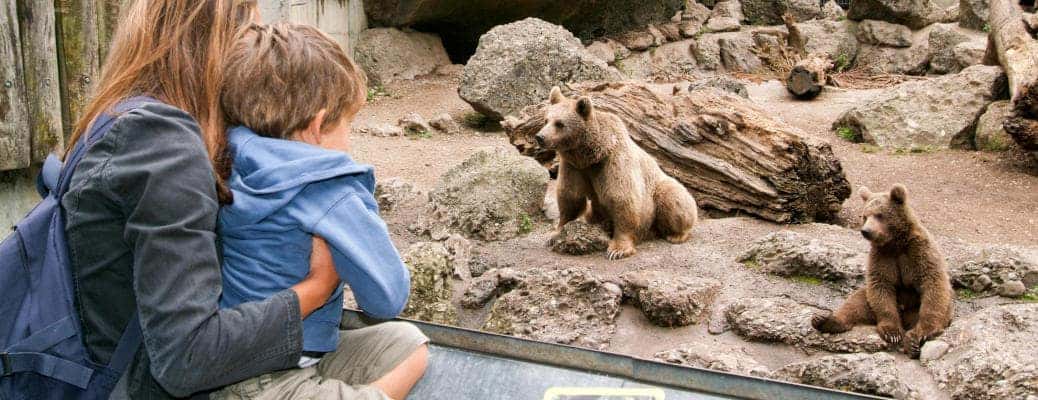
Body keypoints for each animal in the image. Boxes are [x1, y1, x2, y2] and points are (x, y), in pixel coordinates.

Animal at [536, 86, 698, 260]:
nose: (540, 137)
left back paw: (677, 235)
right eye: (546, 120)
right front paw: (554, 234)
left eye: (559, 123)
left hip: (661, 189)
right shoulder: (574, 167)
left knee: (672, 198)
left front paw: (617, 249)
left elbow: (621, 199)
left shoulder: (613, 162)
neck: (591, 156)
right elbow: (570, 197)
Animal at [812, 184, 953, 358]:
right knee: (857, 301)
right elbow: (881, 286)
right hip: (871, 300)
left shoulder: (919, 251)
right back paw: (824, 320)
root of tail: (905, 318)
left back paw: (912, 341)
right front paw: (892, 333)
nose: (866, 231)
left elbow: (932, 283)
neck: (895, 242)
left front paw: (923, 332)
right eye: (865, 216)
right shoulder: (882, 257)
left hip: (923, 308)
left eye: (879, 215)